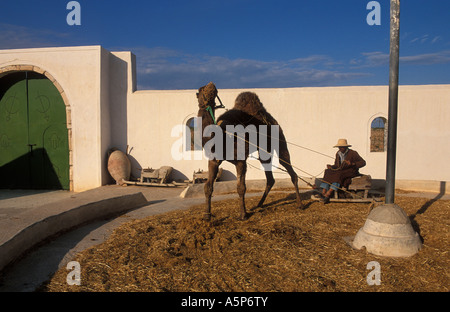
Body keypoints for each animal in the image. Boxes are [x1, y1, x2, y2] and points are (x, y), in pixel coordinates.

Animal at [196, 81, 304, 221]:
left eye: (214, 94)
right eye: (200, 91)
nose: (211, 85)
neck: (223, 137)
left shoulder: (241, 160)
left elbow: (241, 187)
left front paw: (243, 214)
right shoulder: (214, 160)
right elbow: (208, 187)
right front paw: (206, 216)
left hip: (280, 142)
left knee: (291, 170)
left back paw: (300, 204)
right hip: (264, 152)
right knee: (270, 178)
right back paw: (259, 204)